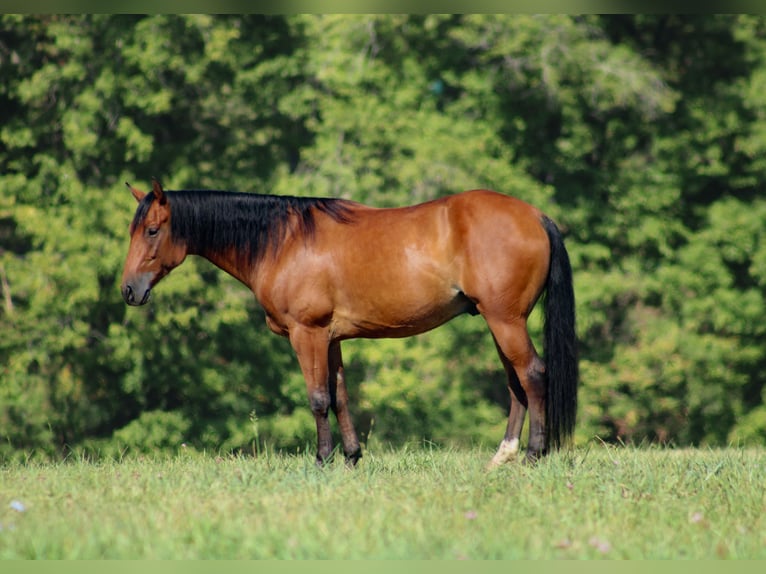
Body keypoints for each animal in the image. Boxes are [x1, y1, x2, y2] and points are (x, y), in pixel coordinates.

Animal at [121, 179, 576, 468]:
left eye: (152, 230)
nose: (128, 290)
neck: (284, 242)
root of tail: (536, 216)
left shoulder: (307, 333)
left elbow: (318, 398)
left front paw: (322, 460)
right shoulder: (331, 337)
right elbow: (339, 395)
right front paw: (352, 457)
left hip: (506, 321)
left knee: (532, 374)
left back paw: (534, 455)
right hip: (499, 322)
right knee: (515, 383)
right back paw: (503, 456)